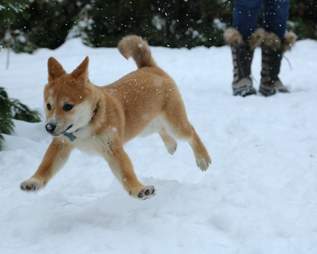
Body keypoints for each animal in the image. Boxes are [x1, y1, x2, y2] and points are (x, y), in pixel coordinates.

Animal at [21, 34, 211, 199]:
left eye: (68, 106)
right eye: (49, 106)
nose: (49, 127)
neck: (88, 125)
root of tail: (149, 68)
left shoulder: (113, 148)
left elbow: (126, 173)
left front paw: (140, 190)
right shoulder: (61, 144)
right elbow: (46, 166)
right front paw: (33, 182)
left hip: (174, 123)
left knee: (190, 132)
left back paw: (203, 158)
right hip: (144, 124)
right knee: (161, 129)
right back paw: (171, 145)